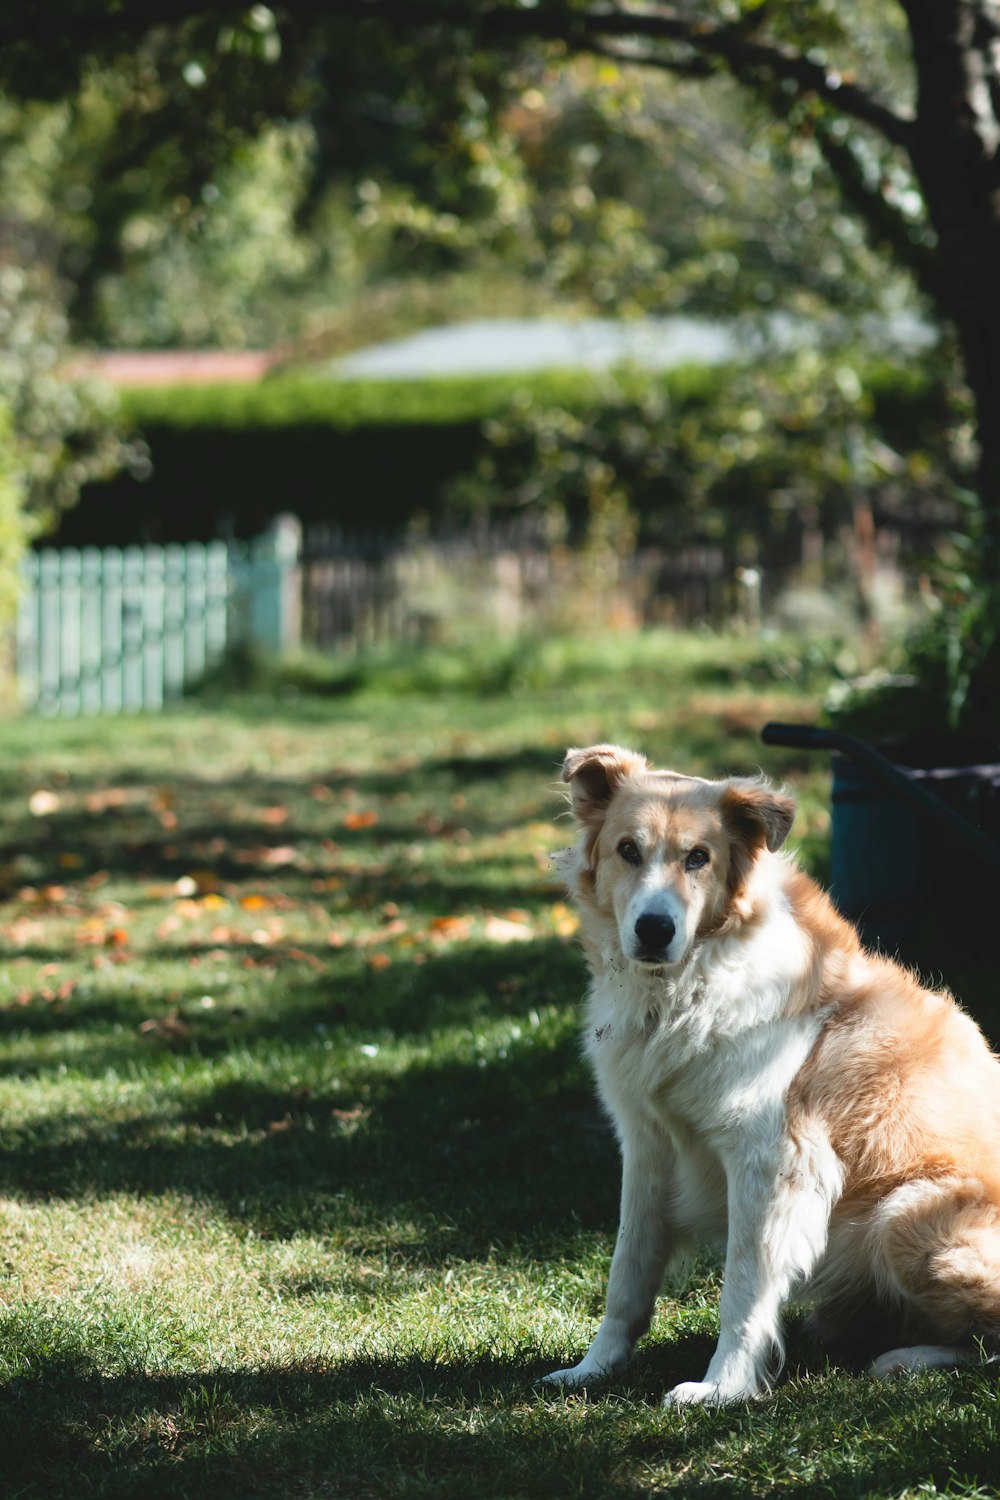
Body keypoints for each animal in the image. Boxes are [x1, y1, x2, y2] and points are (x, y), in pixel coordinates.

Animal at [542, 747, 1000, 1404]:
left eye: (698, 857)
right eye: (627, 849)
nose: (654, 930)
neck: (686, 987)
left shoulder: (771, 1161)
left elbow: (742, 1289)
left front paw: (721, 1388)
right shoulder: (647, 1145)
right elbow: (627, 1271)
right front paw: (594, 1369)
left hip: (905, 1212)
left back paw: (904, 1359)